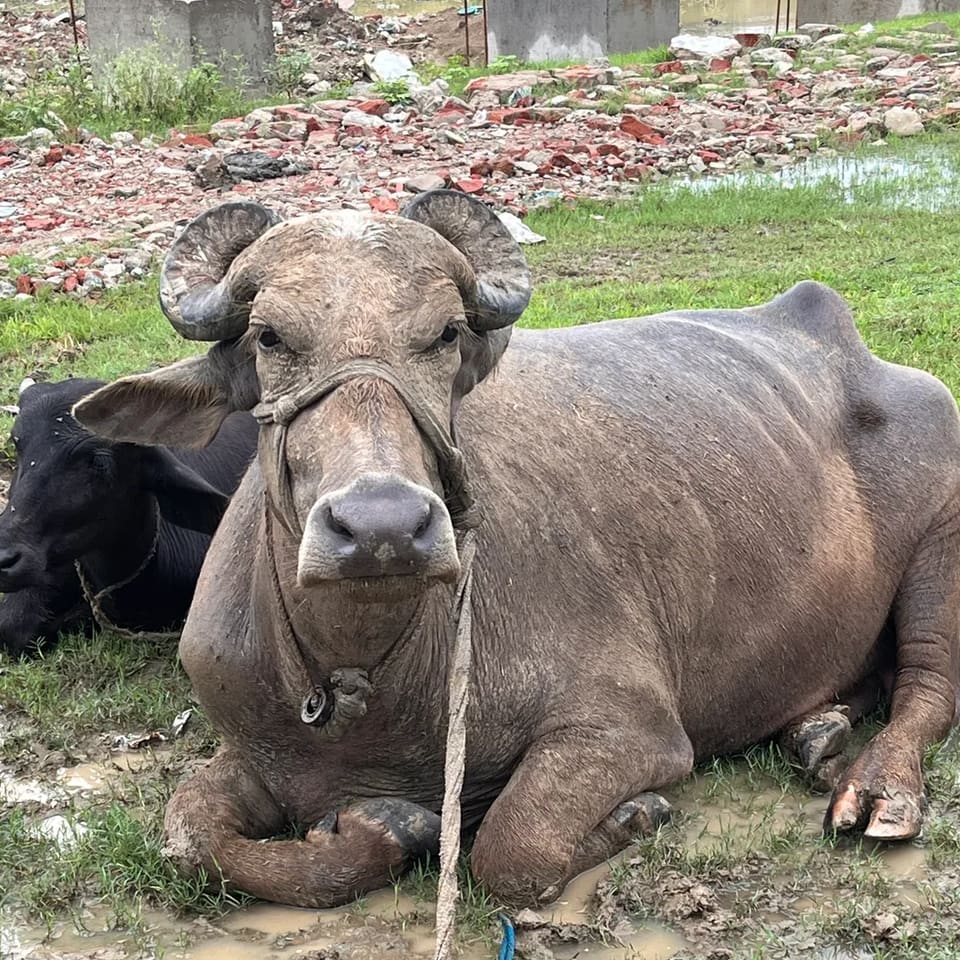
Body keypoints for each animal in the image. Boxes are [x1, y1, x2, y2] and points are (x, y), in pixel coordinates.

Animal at [74, 191, 960, 909]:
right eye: (268, 337)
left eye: (445, 333)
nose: (382, 525)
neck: (367, 673)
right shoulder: (254, 749)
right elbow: (194, 841)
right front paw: (383, 829)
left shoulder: (629, 729)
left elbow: (512, 851)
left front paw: (635, 813)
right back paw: (818, 732)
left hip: (942, 548)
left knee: (928, 689)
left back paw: (878, 790)